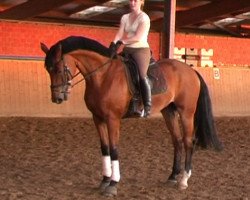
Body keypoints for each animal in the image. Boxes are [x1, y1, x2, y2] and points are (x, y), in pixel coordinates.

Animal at [41, 35, 223, 196]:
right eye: (47, 70)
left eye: (58, 69)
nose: (57, 98)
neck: (103, 75)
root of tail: (191, 70)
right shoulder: (97, 118)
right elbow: (105, 148)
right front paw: (104, 181)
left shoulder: (112, 119)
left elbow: (114, 149)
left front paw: (113, 184)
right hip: (169, 111)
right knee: (177, 141)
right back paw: (172, 177)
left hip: (186, 113)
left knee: (188, 142)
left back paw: (184, 180)